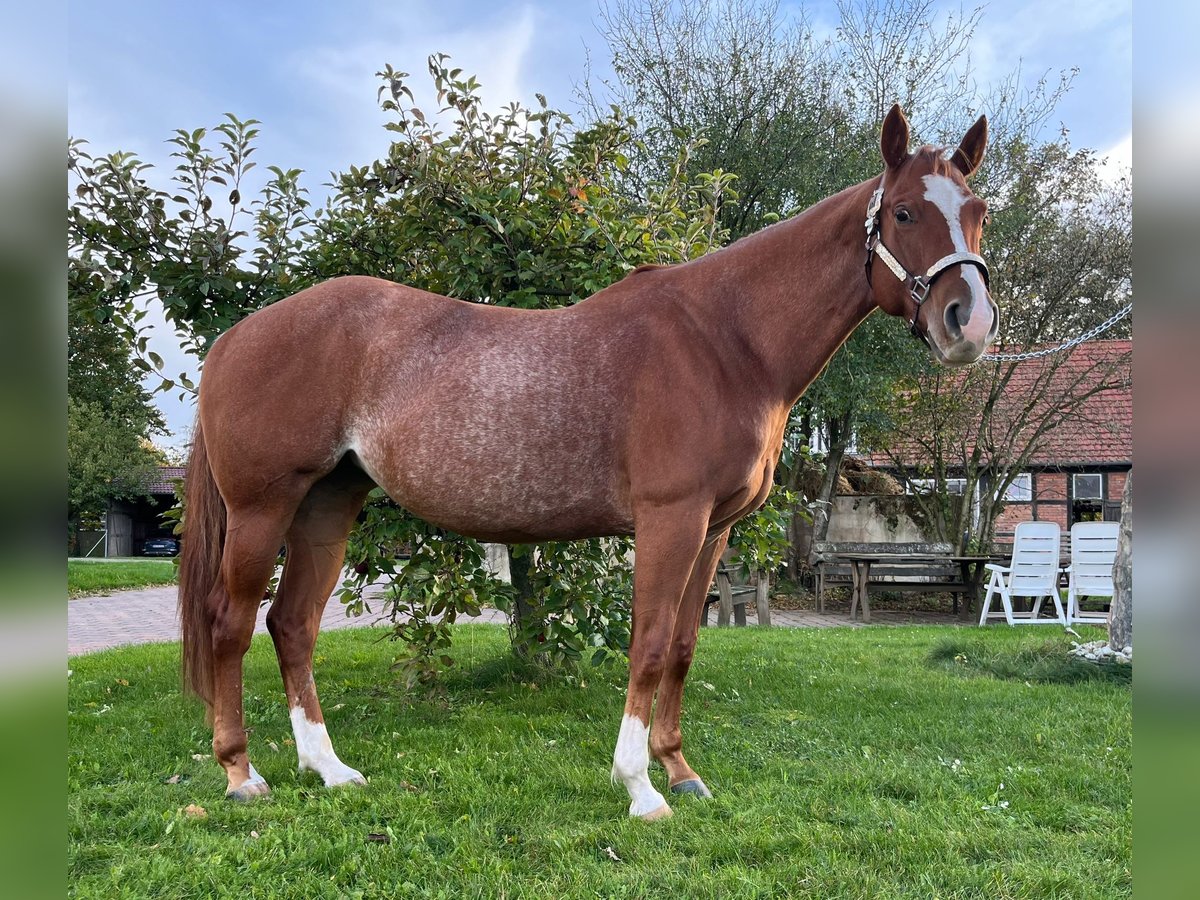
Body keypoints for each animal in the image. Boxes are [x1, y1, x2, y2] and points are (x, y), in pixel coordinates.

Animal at [177, 103, 998, 816]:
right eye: (903, 212)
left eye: (979, 210)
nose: (969, 323)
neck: (726, 341)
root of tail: (237, 337)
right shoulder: (670, 520)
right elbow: (648, 645)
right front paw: (640, 789)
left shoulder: (715, 528)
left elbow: (683, 647)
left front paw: (681, 771)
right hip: (263, 507)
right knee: (230, 623)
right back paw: (241, 775)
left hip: (328, 501)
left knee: (292, 624)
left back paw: (330, 768)